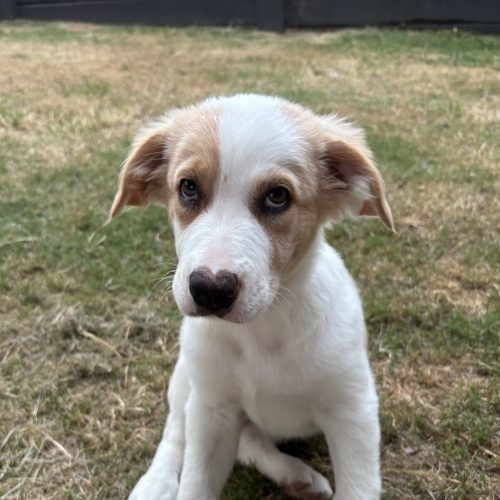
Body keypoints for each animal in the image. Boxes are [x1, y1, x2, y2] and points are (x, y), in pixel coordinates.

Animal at [110, 94, 394, 500]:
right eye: (188, 188)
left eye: (278, 196)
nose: (210, 289)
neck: (261, 329)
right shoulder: (212, 412)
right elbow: (194, 482)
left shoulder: (352, 411)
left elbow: (358, 489)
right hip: (188, 378)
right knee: (177, 428)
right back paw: (156, 483)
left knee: (249, 441)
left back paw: (297, 476)